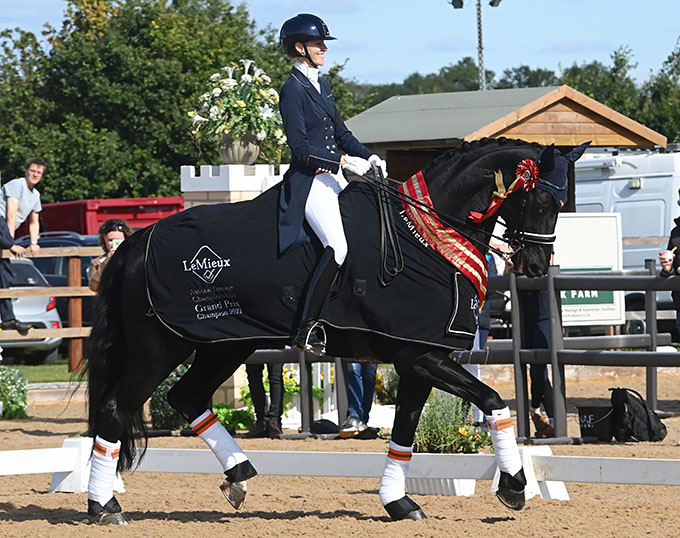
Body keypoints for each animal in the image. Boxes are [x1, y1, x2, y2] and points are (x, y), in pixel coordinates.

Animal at [83, 136, 584, 520]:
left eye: (562, 203)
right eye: (542, 200)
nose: (536, 267)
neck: (426, 237)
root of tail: (137, 240)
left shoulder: (418, 358)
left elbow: (405, 433)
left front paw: (399, 503)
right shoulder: (423, 356)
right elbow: (494, 401)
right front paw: (514, 485)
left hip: (224, 345)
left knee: (186, 397)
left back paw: (238, 477)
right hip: (158, 349)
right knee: (115, 408)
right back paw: (104, 506)